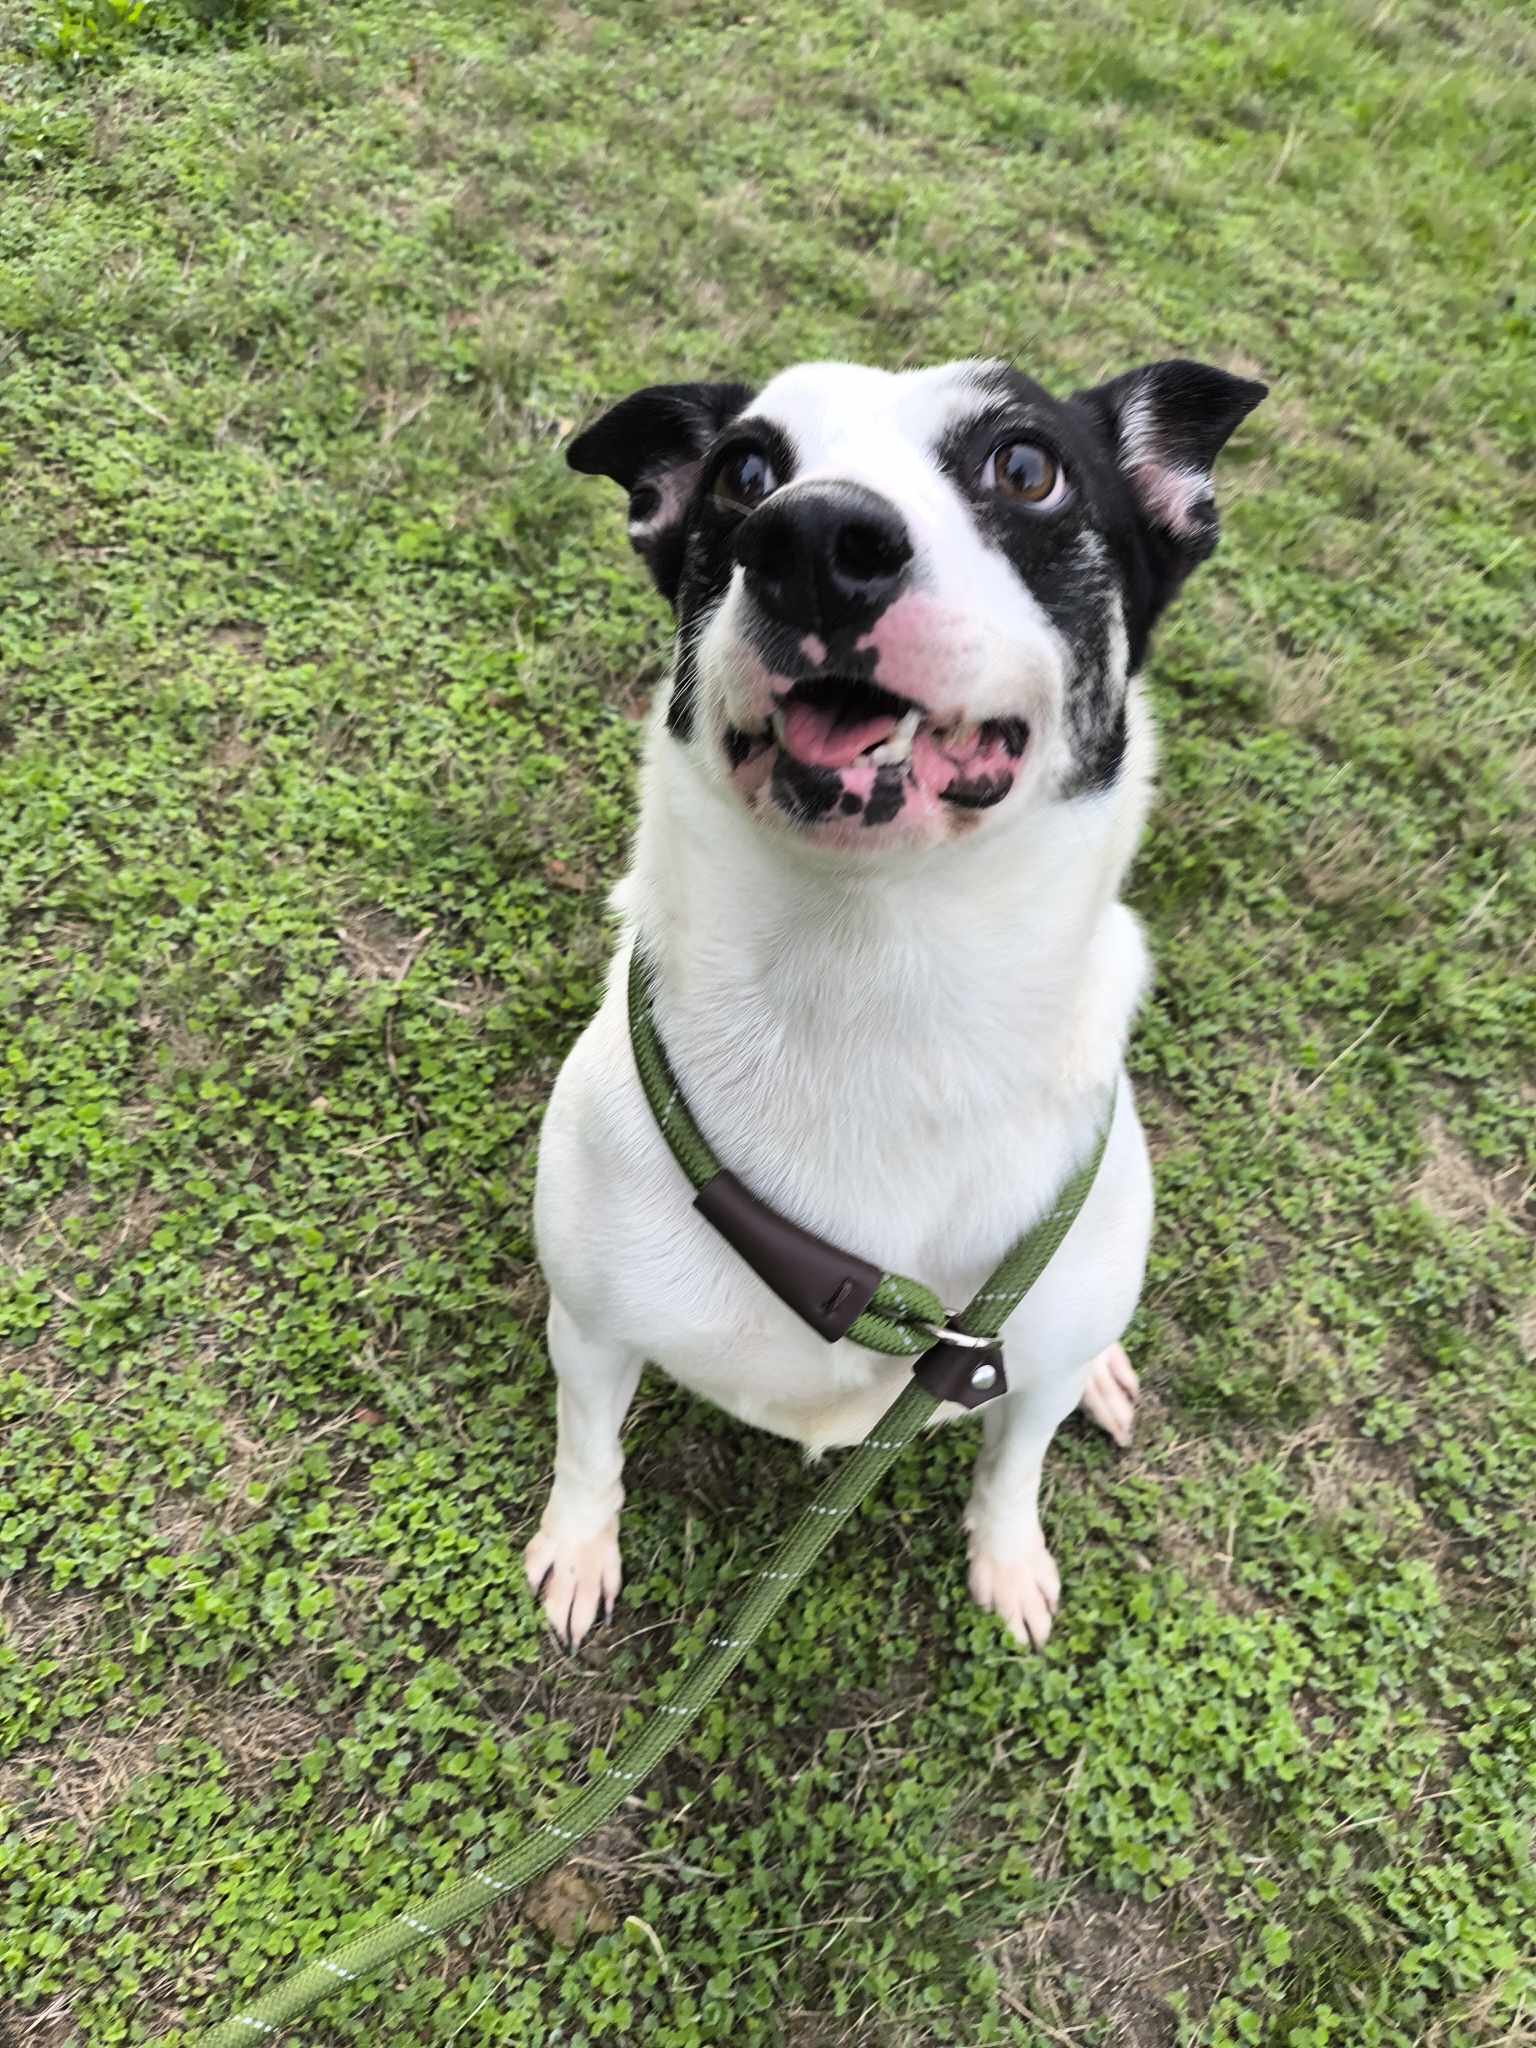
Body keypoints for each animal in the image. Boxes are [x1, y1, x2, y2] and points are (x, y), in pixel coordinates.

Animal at [524, 356, 1269, 1646]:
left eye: (1026, 465)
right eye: (745, 472)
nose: (813, 539)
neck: (870, 974)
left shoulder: (1018, 1353)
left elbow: (1015, 1461)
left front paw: (1008, 1561)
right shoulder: (594, 1324)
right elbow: (588, 1451)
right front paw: (575, 1549)